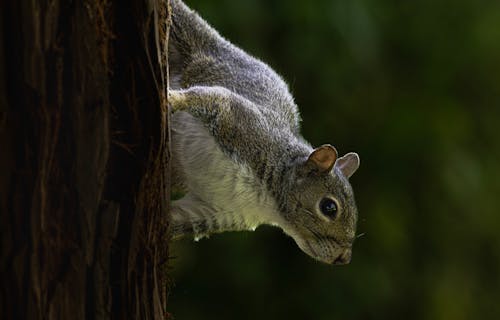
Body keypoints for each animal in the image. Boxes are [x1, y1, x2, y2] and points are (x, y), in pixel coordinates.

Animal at [168, 0, 360, 264]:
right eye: (329, 207)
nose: (344, 258)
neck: (266, 202)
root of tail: (218, 44)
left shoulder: (215, 211)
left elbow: (176, 220)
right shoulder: (239, 123)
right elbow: (207, 98)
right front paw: (171, 99)